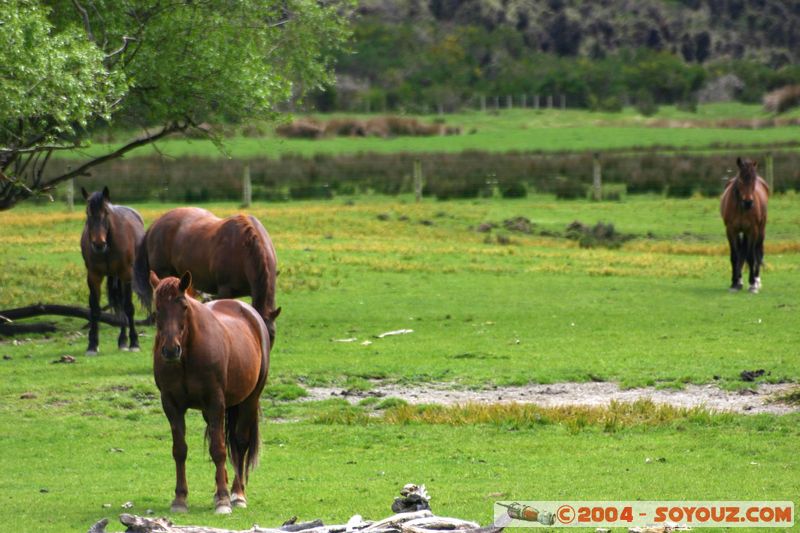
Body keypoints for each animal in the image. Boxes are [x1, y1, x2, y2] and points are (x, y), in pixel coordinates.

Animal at [80, 187, 146, 354]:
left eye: (106, 213)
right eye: (88, 212)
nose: (98, 244)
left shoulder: (126, 275)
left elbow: (128, 307)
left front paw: (134, 342)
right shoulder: (94, 277)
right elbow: (95, 309)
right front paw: (92, 344)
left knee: (123, 304)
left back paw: (125, 340)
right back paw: (122, 340)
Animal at [151, 272, 272, 512]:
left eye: (184, 306)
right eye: (157, 307)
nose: (170, 350)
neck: (187, 355)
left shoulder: (215, 401)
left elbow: (219, 449)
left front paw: (224, 500)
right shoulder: (171, 404)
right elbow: (180, 449)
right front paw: (180, 499)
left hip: (249, 399)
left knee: (239, 443)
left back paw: (237, 493)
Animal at [720, 156, 768, 294]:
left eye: (753, 180)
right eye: (741, 179)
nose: (748, 202)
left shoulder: (753, 230)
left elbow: (752, 256)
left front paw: (752, 284)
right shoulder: (731, 230)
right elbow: (735, 256)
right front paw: (734, 283)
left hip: (761, 231)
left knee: (758, 252)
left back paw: (756, 281)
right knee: (742, 253)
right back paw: (740, 281)